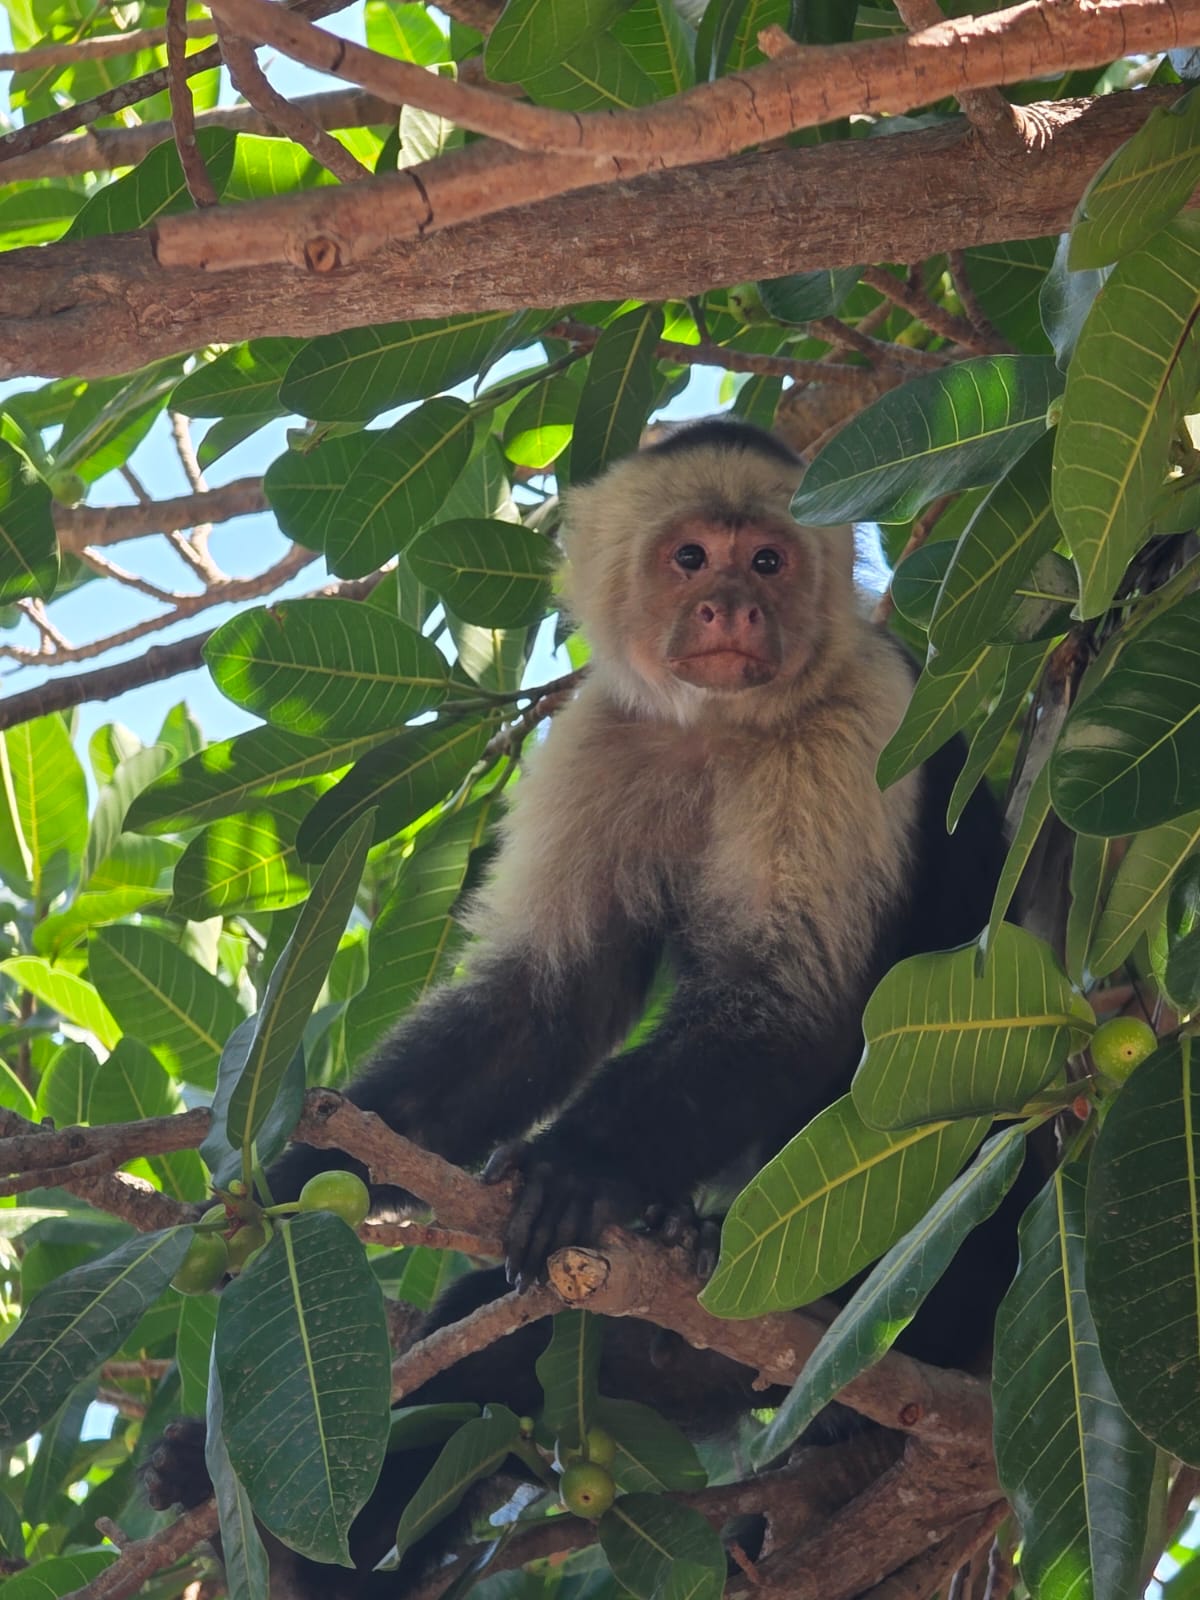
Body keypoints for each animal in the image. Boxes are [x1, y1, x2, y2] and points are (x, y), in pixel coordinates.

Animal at [146, 418, 1018, 1592]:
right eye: (692, 558)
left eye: (769, 560)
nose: (733, 607)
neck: (718, 726)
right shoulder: (607, 733)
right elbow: (543, 1005)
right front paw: (291, 1179)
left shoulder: (858, 722)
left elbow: (790, 1007)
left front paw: (578, 1166)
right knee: (498, 1348)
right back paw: (302, 1539)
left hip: (907, 1278)